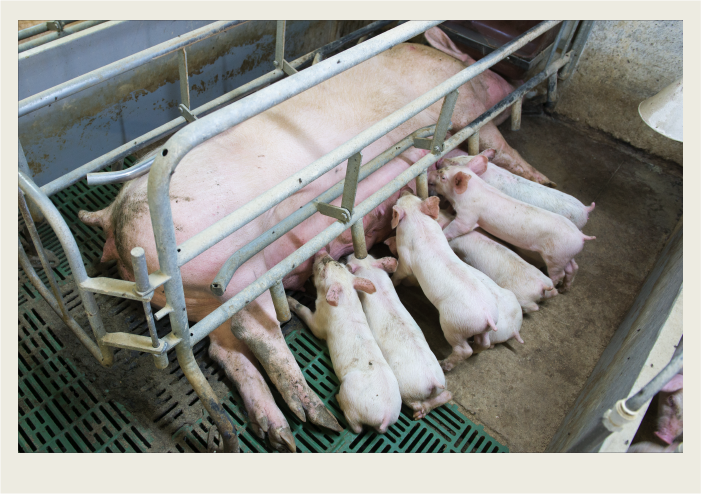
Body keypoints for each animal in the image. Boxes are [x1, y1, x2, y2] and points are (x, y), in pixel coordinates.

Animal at [76, 27, 548, 452]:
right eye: (490, 71)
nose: (517, 85)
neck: (456, 67)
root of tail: (115, 216)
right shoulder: (469, 109)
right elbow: (503, 148)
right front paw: (540, 178)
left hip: (204, 302)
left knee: (226, 353)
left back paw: (276, 433)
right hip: (233, 270)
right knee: (257, 332)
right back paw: (317, 416)